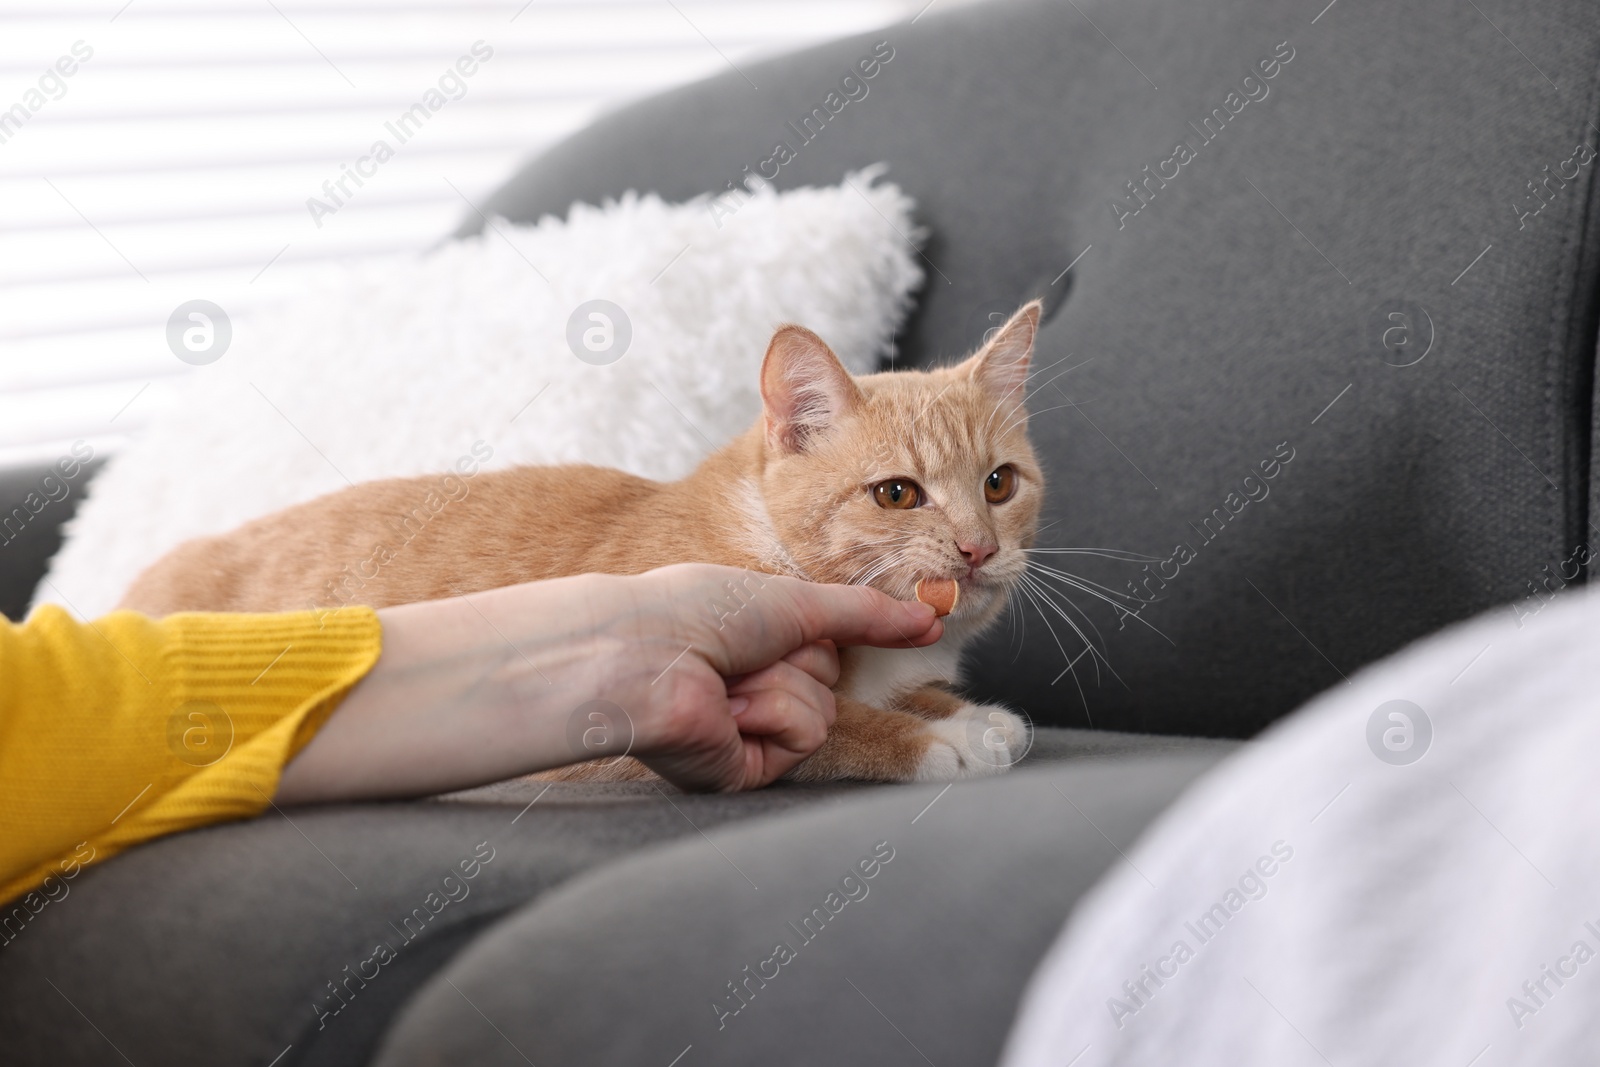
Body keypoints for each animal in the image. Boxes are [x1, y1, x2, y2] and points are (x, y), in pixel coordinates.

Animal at [128, 302, 1049, 783]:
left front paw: (967, 715)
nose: (975, 549)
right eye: (897, 493)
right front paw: (928, 739)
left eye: (999, 484)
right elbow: (839, 727)